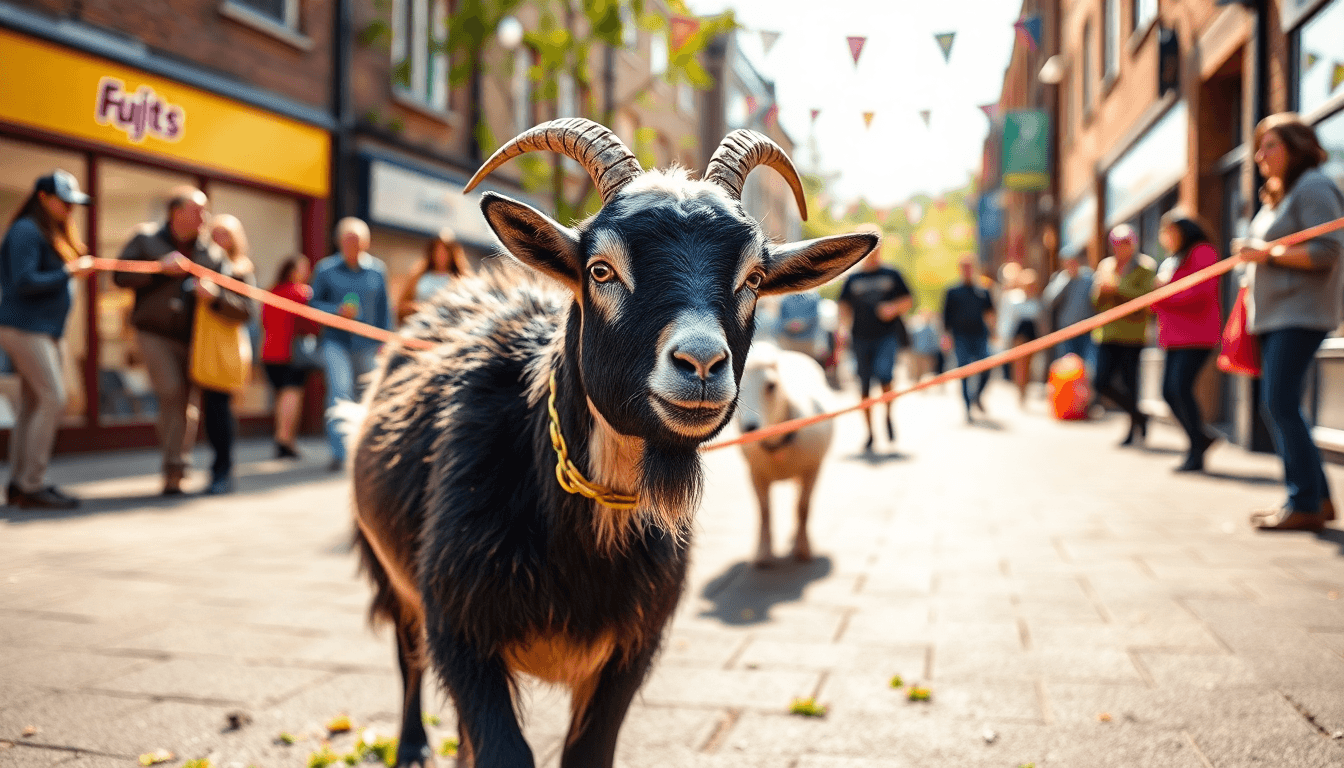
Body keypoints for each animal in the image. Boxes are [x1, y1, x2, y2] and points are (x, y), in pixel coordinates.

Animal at [736, 341, 835, 567]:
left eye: (771, 385)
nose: (750, 428)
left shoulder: (812, 469)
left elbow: (803, 507)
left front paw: (803, 549)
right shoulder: (755, 472)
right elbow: (764, 511)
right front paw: (763, 553)